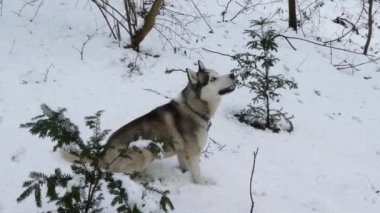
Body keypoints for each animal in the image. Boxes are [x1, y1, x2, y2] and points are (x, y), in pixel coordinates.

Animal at [101, 60, 235, 183]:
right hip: (145, 152)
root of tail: (102, 156)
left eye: (217, 73)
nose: (232, 75)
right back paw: (145, 179)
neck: (193, 109)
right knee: (121, 174)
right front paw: (202, 186)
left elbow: (184, 167)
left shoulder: (182, 152)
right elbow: (197, 176)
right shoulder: (193, 153)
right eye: (213, 79)